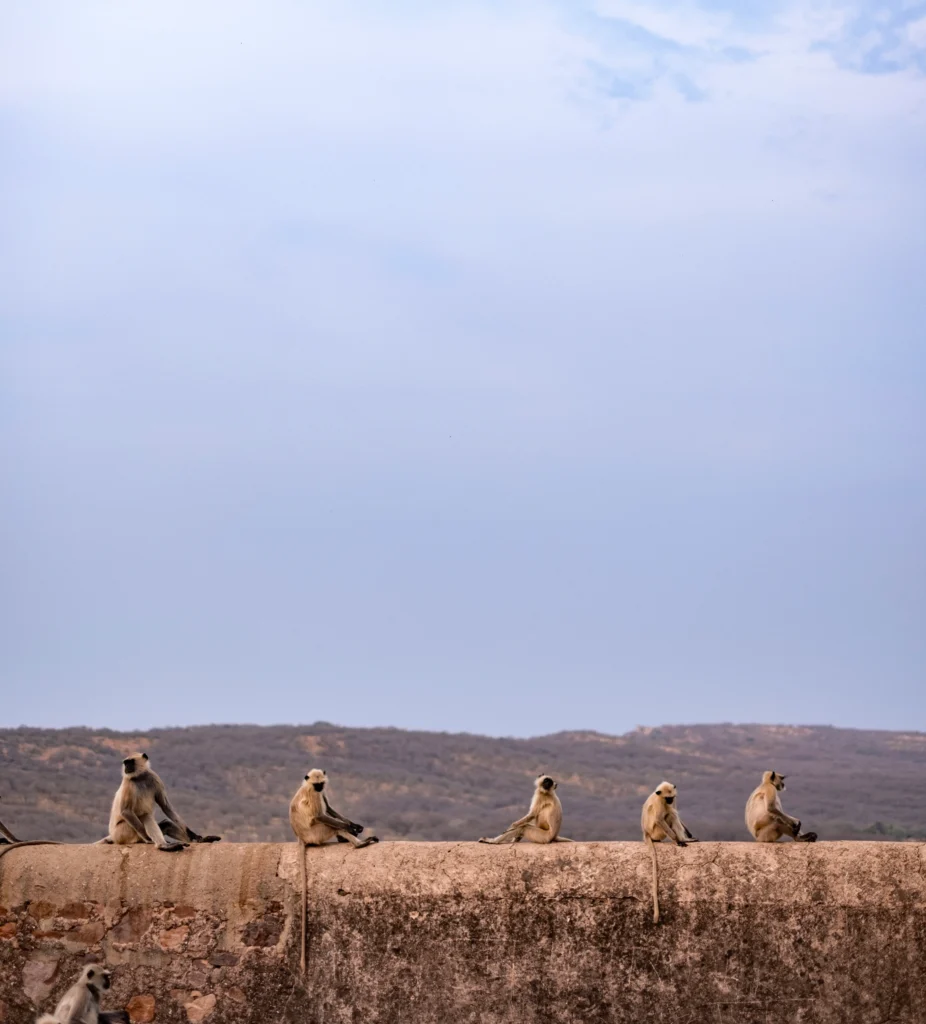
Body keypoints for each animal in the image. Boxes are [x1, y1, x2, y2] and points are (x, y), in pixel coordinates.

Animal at [290, 768, 378, 973]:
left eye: (321, 783)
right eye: (316, 785)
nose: (319, 788)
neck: (310, 787)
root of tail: (301, 837)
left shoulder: (321, 794)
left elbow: (329, 809)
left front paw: (353, 825)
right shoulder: (313, 794)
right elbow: (321, 815)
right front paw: (350, 827)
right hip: (317, 834)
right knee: (329, 824)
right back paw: (359, 844)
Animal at [641, 781, 697, 924]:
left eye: (671, 797)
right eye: (667, 798)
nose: (670, 801)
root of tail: (646, 833)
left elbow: (675, 811)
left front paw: (688, 834)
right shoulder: (660, 802)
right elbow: (659, 819)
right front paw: (677, 840)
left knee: (672, 812)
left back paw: (685, 838)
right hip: (657, 832)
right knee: (670, 814)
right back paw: (678, 840)